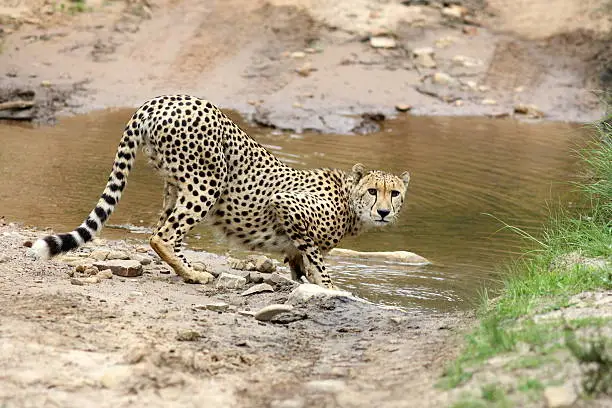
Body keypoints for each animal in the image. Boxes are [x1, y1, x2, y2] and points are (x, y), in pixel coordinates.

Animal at [29, 94, 412, 288]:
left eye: (394, 194)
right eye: (373, 191)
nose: (383, 212)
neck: (349, 202)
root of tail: (160, 99)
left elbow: (299, 262)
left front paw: (307, 281)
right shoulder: (287, 204)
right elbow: (315, 257)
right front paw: (329, 287)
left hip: (174, 184)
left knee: (162, 231)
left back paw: (190, 269)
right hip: (206, 182)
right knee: (163, 236)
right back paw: (194, 274)